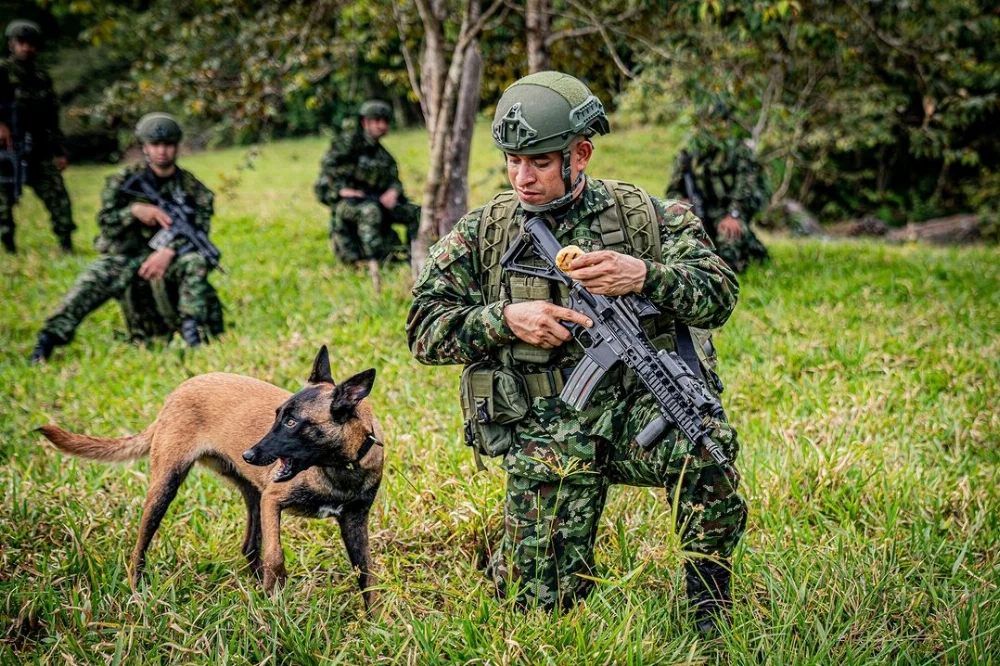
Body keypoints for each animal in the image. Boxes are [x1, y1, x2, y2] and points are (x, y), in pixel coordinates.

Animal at [39, 344, 382, 608]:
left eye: (292, 422)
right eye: (278, 417)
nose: (249, 455)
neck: (342, 467)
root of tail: (179, 390)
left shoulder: (353, 521)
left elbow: (366, 574)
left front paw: (372, 623)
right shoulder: (274, 499)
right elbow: (275, 555)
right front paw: (276, 601)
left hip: (252, 494)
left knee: (249, 547)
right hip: (166, 486)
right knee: (139, 547)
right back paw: (137, 594)